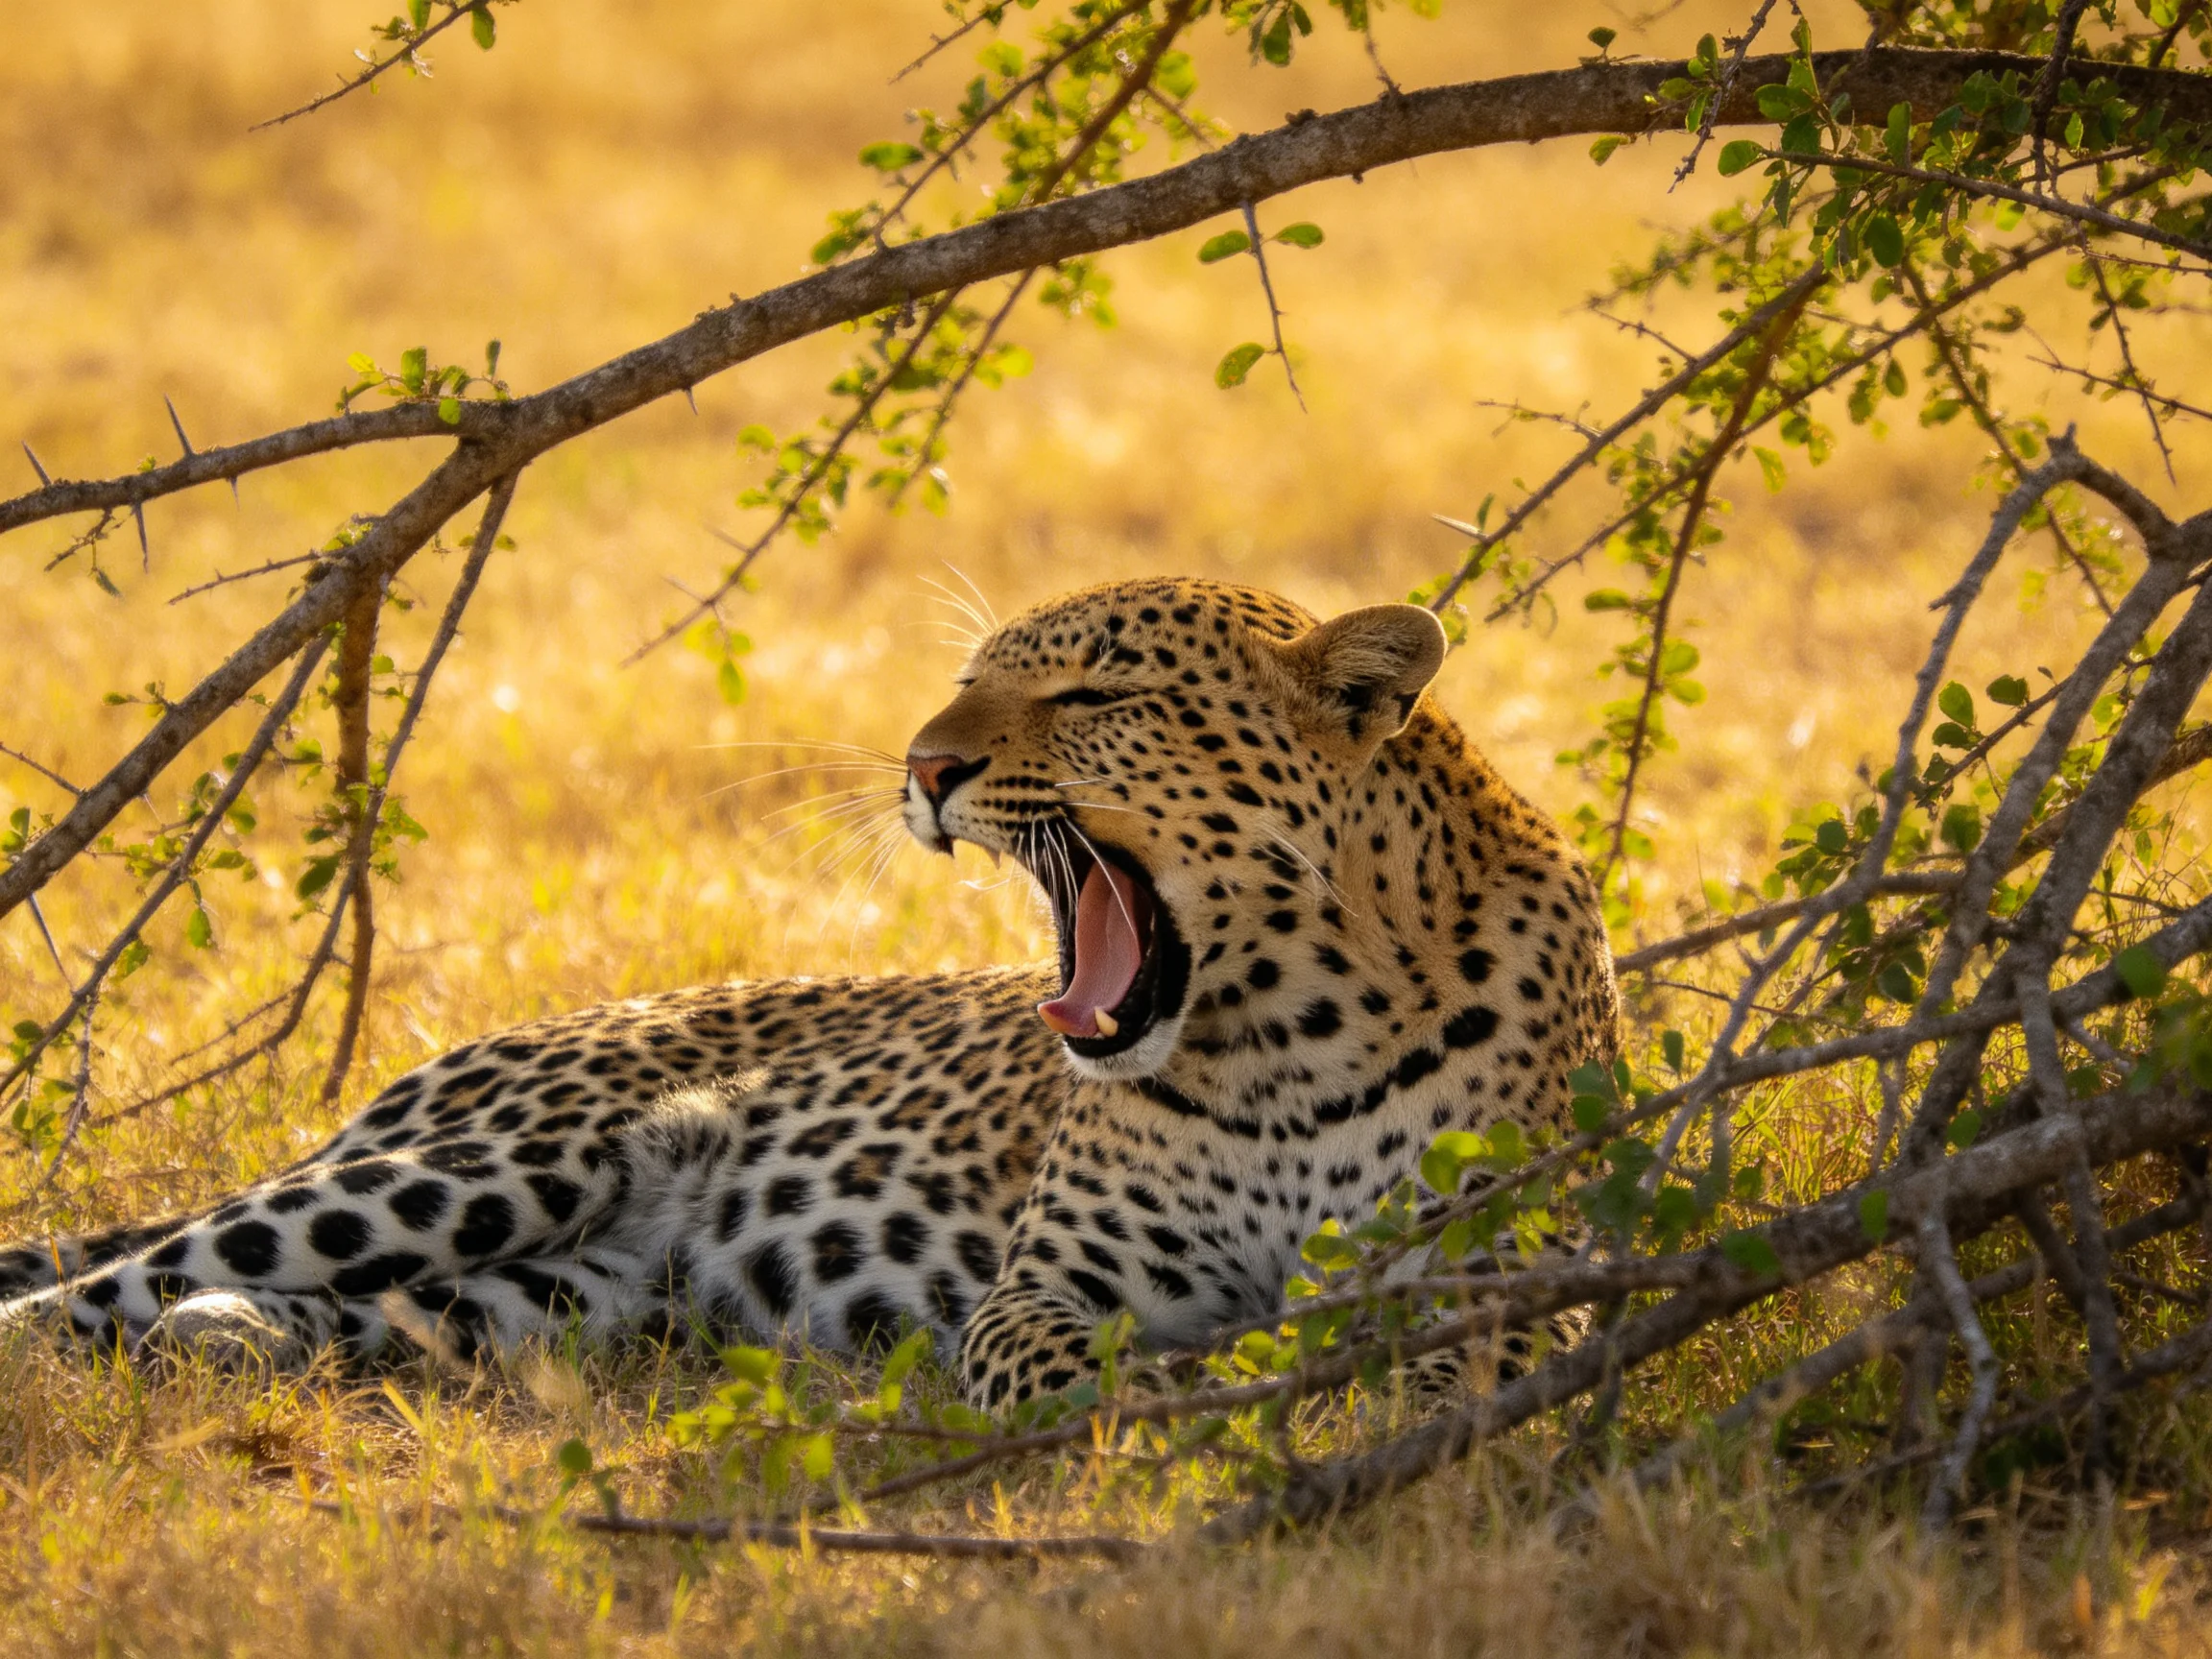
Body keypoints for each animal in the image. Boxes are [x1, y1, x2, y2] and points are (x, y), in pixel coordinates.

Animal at [0, 578, 1617, 1407]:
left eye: (1097, 696)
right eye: (972, 678)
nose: (925, 765)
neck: (1286, 1039)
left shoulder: (1517, 1272)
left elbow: (1449, 1360)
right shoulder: (1045, 1285)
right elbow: (1064, 1367)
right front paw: (1188, 1402)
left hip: (561, 1296)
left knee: (308, 1310)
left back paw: (227, 1338)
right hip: (481, 1165)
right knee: (88, 1283)